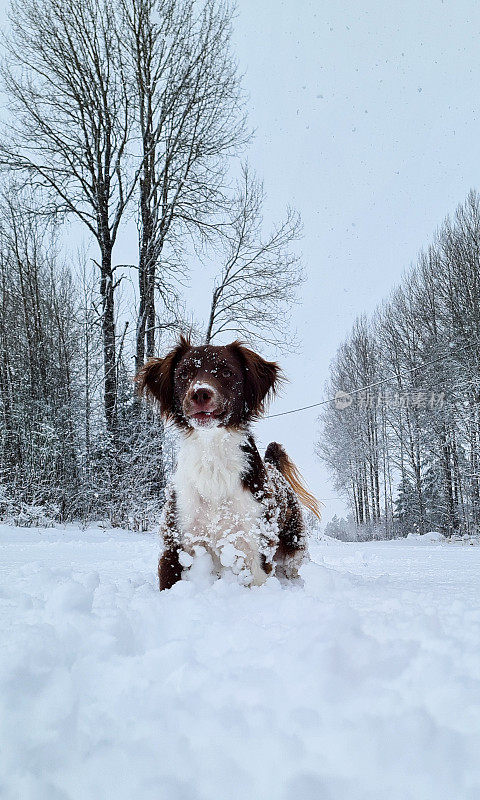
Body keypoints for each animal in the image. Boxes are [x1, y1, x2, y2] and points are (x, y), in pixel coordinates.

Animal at [134, 334, 318, 592]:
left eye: (226, 372)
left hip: (293, 545)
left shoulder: (254, 541)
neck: (212, 455)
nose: (200, 393)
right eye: (184, 373)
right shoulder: (177, 539)